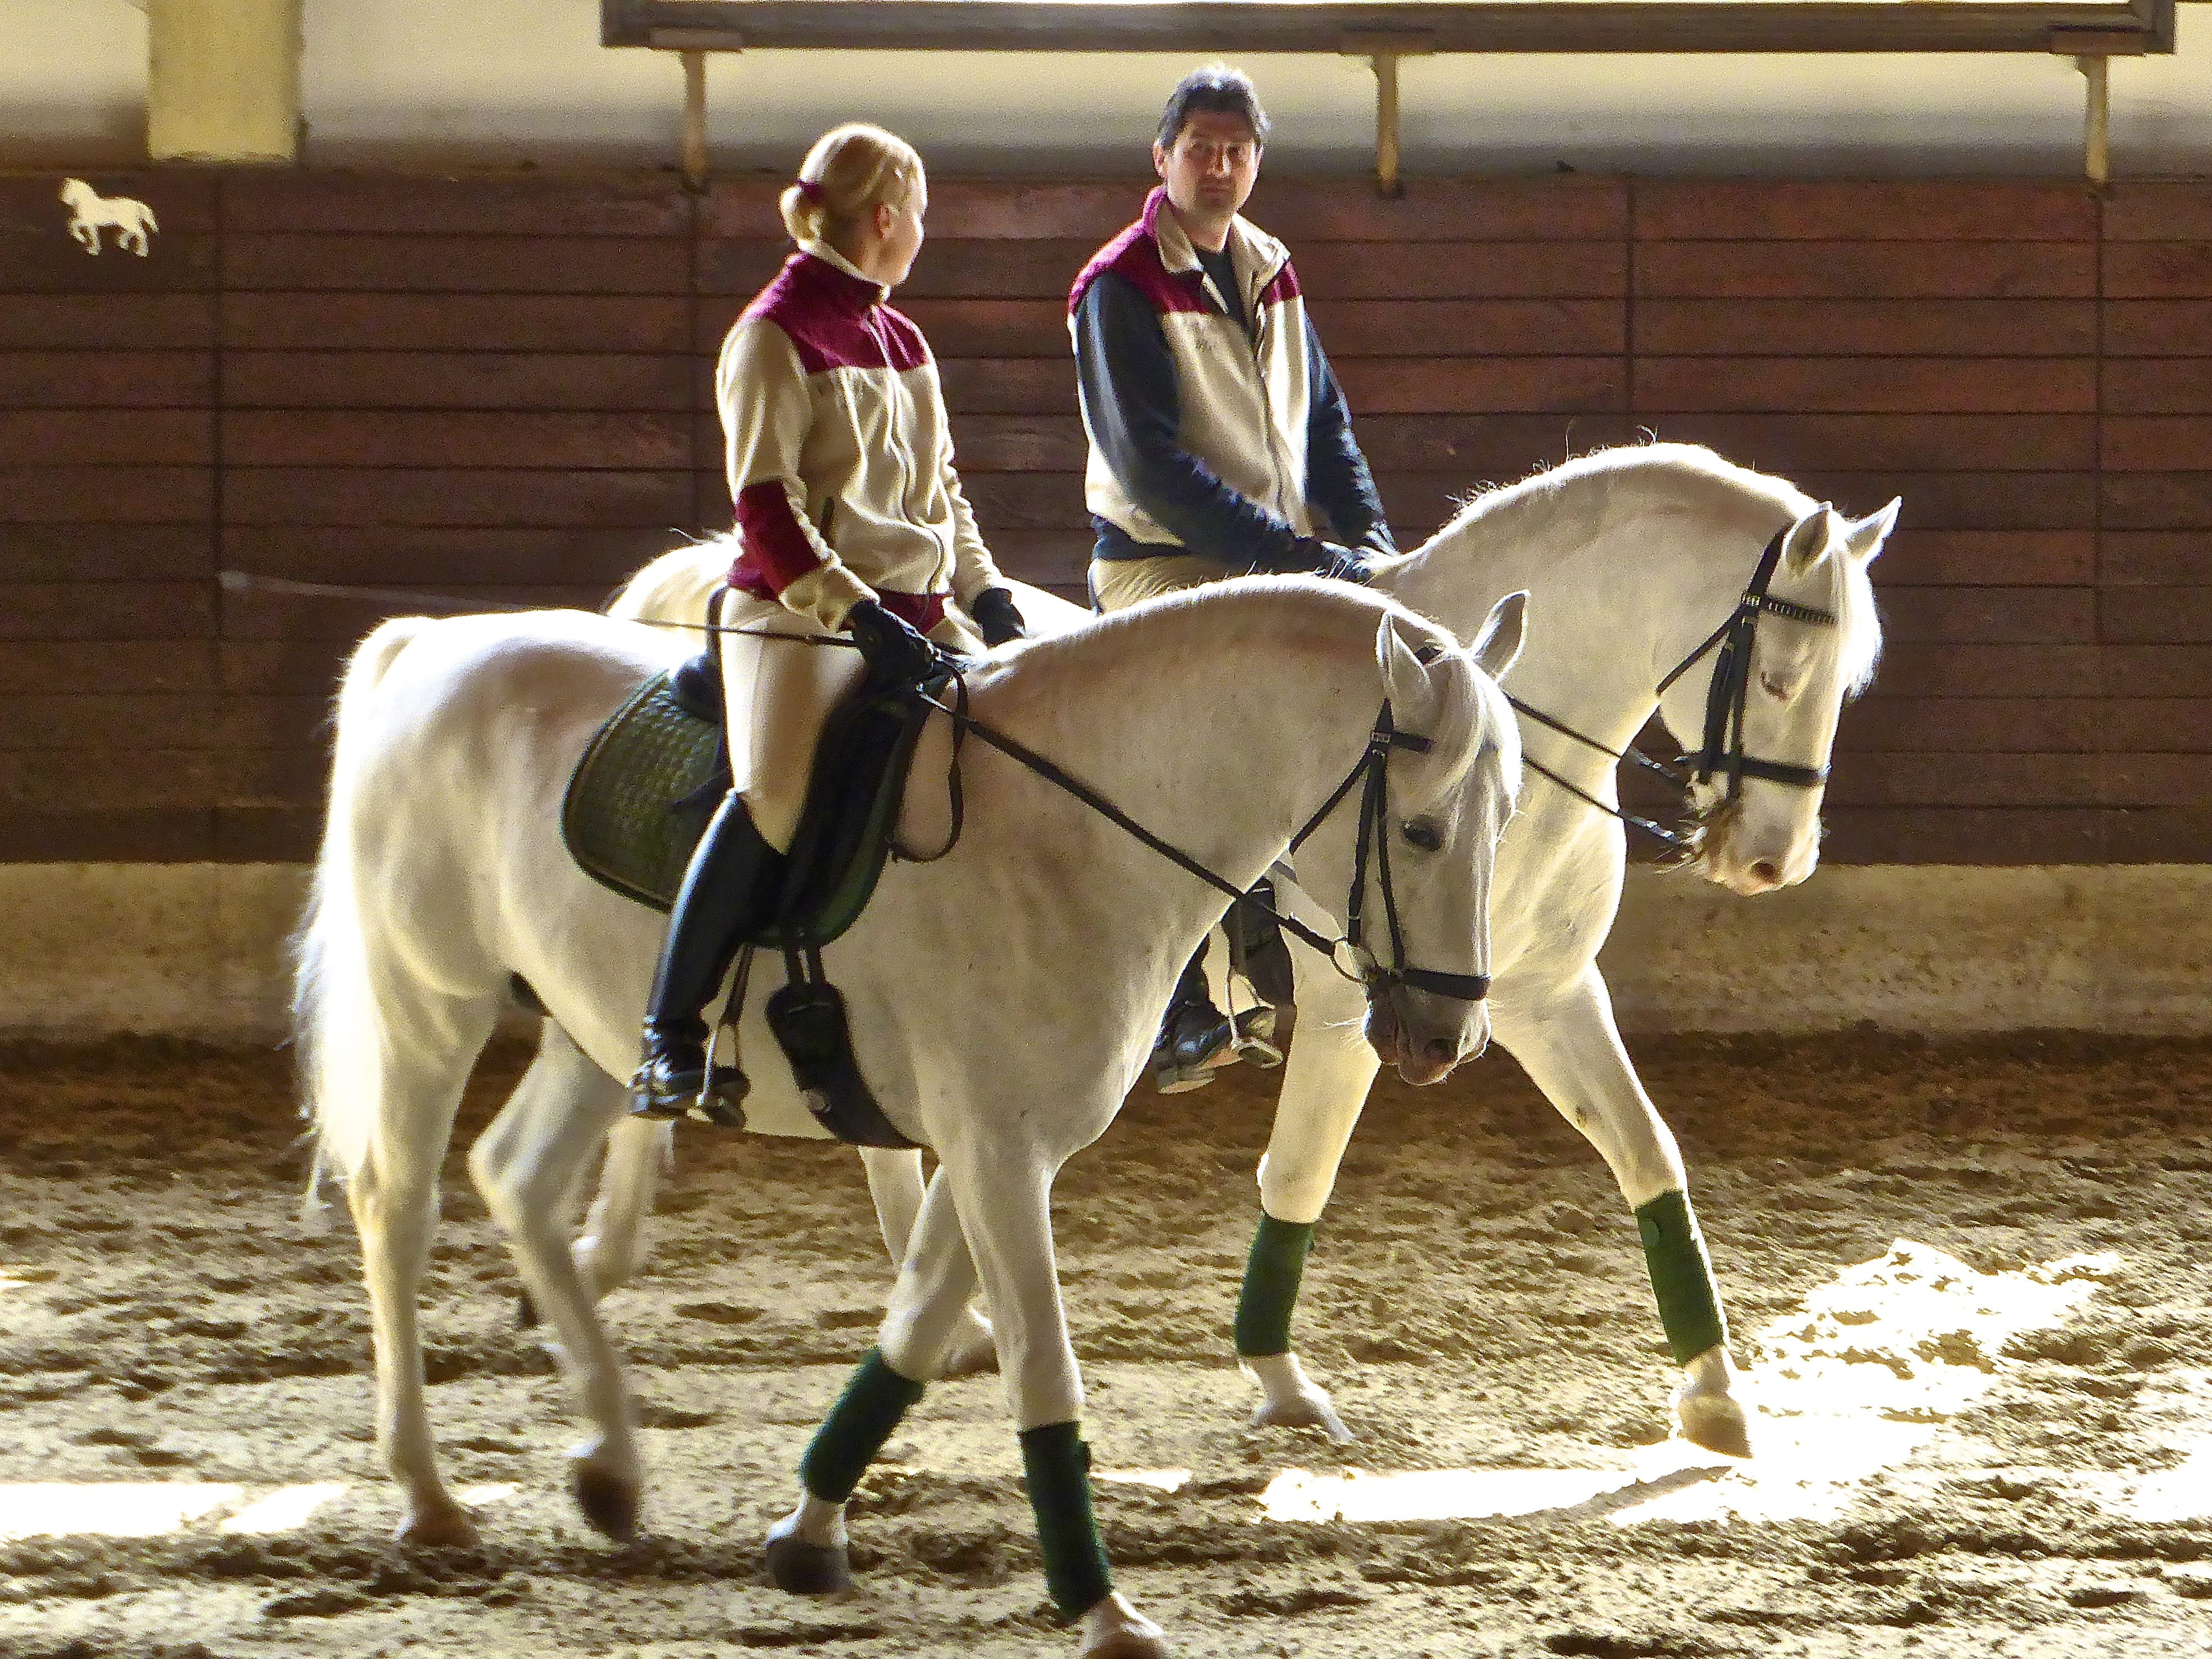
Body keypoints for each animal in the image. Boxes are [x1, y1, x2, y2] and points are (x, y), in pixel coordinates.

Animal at [297, 575, 1527, 1656]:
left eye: (1507, 815)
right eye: (1419, 831)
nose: (1444, 1039)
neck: (1073, 828)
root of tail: (428, 645)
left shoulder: (995, 1143)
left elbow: (917, 1324)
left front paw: (806, 1533)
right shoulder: (995, 1149)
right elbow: (1040, 1365)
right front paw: (1100, 1610)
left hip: (590, 1027)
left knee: (518, 1175)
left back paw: (608, 1465)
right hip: (431, 997)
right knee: (399, 1205)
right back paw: (428, 1492)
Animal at [568, 442, 1892, 1461]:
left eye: (1844, 684)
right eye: (1779, 675)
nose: (1770, 858)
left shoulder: (1541, 995)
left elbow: (1648, 1153)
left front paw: (1712, 1394)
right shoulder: (1358, 1014)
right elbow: (1297, 1173)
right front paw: (1277, 1377)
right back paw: (615, 1229)